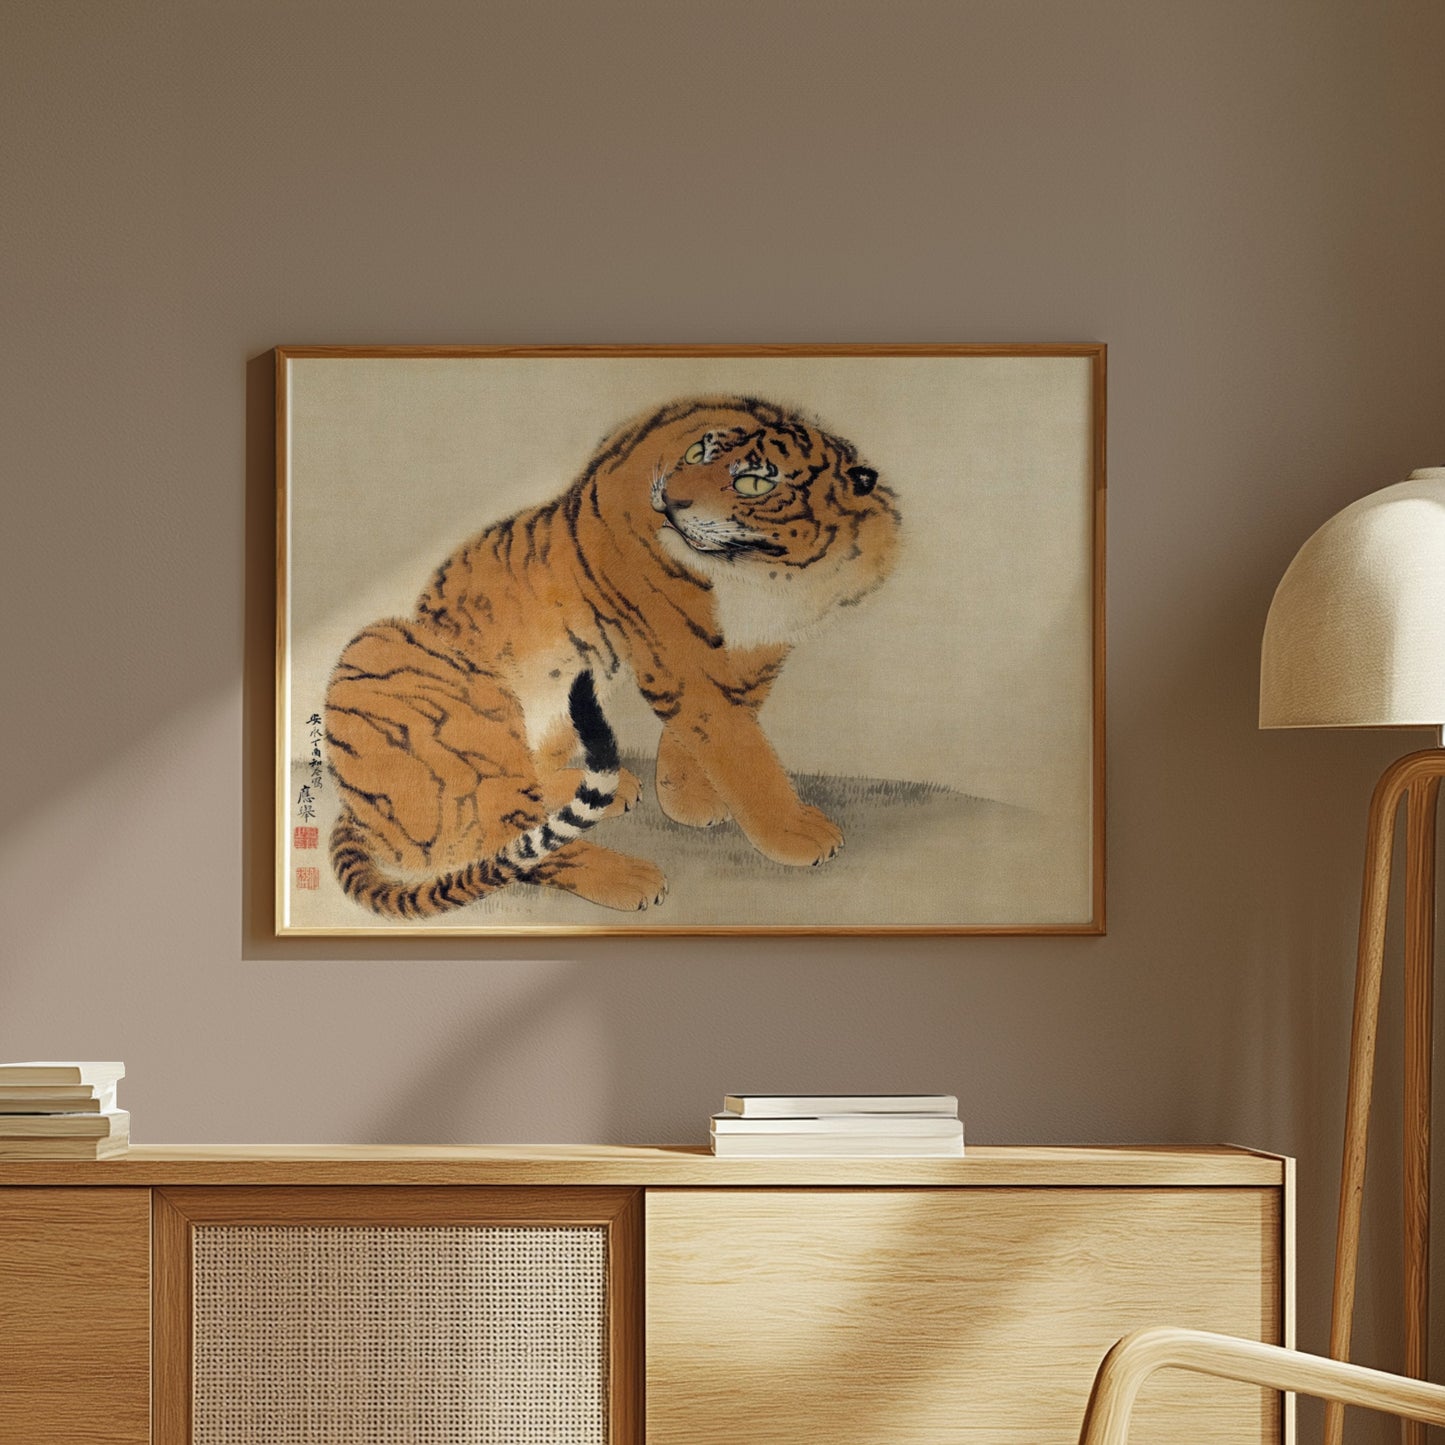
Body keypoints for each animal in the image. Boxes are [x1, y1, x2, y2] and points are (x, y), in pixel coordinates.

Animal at [324, 394, 901, 918]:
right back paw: (630, 878)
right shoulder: (676, 651)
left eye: (754, 483)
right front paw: (794, 832)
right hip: (411, 669)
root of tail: (355, 809)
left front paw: (688, 798)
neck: (770, 575)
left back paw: (614, 787)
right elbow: (738, 746)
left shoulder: (760, 649)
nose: (669, 500)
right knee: (509, 840)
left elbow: (719, 728)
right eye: (697, 454)